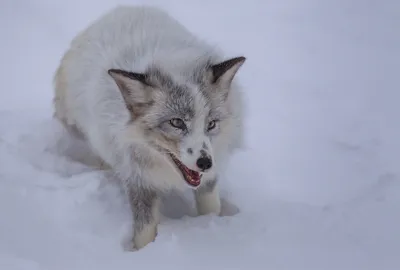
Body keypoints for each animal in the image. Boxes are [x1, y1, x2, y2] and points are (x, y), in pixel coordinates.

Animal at [53, 5, 247, 250]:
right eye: (176, 122)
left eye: (211, 124)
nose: (205, 162)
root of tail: (124, 9)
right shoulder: (138, 180)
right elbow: (144, 232)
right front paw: (144, 253)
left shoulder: (210, 175)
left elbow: (210, 206)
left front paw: (211, 224)